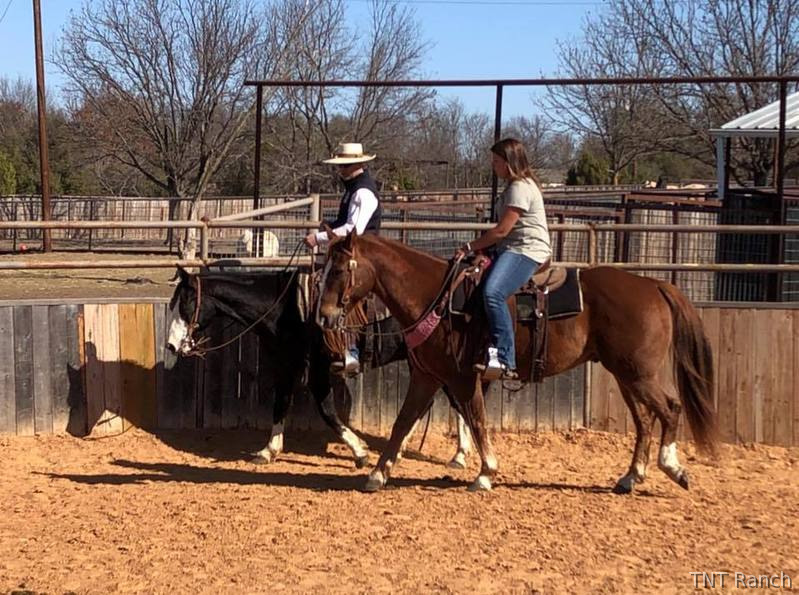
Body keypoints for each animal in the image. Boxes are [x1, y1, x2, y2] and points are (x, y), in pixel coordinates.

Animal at [165, 267, 474, 469]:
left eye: (186, 303)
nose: (170, 346)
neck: (286, 308)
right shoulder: (288, 365)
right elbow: (281, 404)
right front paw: (268, 450)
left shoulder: (317, 372)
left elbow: (327, 412)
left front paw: (360, 452)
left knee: (455, 400)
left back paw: (458, 455)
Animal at [316, 233, 719, 493]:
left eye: (338, 270)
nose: (323, 316)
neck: (437, 297)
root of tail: (653, 285)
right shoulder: (428, 377)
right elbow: (403, 422)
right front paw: (378, 474)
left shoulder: (462, 379)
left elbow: (476, 420)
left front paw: (485, 473)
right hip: (625, 375)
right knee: (645, 420)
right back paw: (631, 476)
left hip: (639, 374)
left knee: (670, 408)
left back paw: (673, 468)